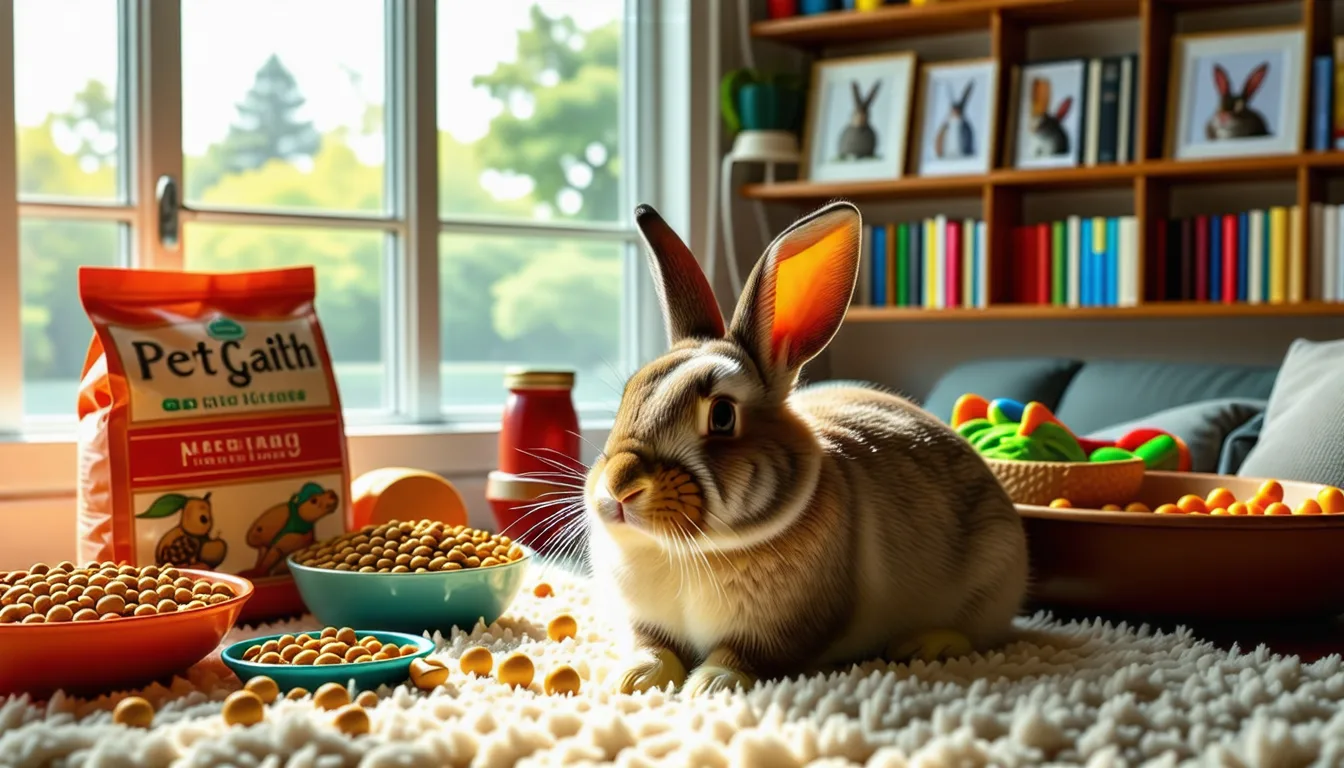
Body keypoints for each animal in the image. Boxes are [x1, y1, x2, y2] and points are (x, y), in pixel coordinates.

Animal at [585, 201, 1031, 698]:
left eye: (722, 416)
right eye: (629, 394)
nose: (620, 487)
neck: (684, 550)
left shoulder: (784, 630)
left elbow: (741, 656)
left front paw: (710, 686)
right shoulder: (645, 621)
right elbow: (652, 645)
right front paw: (634, 679)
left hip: (991, 576)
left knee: (977, 633)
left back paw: (923, 645)